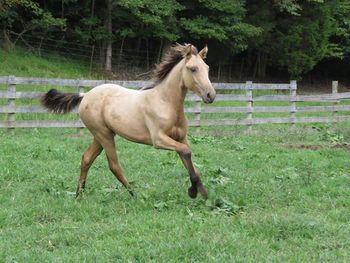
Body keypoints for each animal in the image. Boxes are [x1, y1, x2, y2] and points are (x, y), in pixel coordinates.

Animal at [41, 43, 216, 200]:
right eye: (192, 69)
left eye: (207, 69)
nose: (211, 95)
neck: (165, 102)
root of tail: (85, 95)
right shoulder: (159, 139)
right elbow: (186, 152)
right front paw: (193, 191)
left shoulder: (180, 138)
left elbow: (190, 160)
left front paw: (202, 193)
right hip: (104, 134)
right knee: (114, 165)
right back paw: (134, 194)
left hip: (102, 135)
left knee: (86, 159)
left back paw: (79, 195)